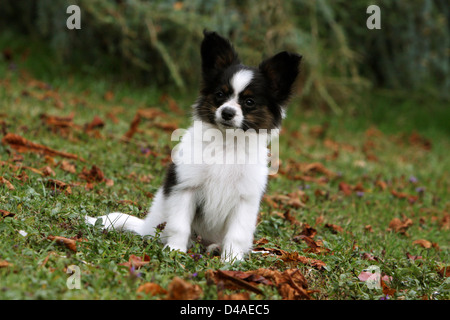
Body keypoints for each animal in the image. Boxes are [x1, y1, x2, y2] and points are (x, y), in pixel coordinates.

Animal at [85, 30, 300, 262]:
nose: (227, 113)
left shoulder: (245, 200)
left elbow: (237, 234)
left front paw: (230, 262)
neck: (226, 143)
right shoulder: (186, 188)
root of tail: (146, 226)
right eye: (220, 95)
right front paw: (175, 251)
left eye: (249, 102)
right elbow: (180, 225)